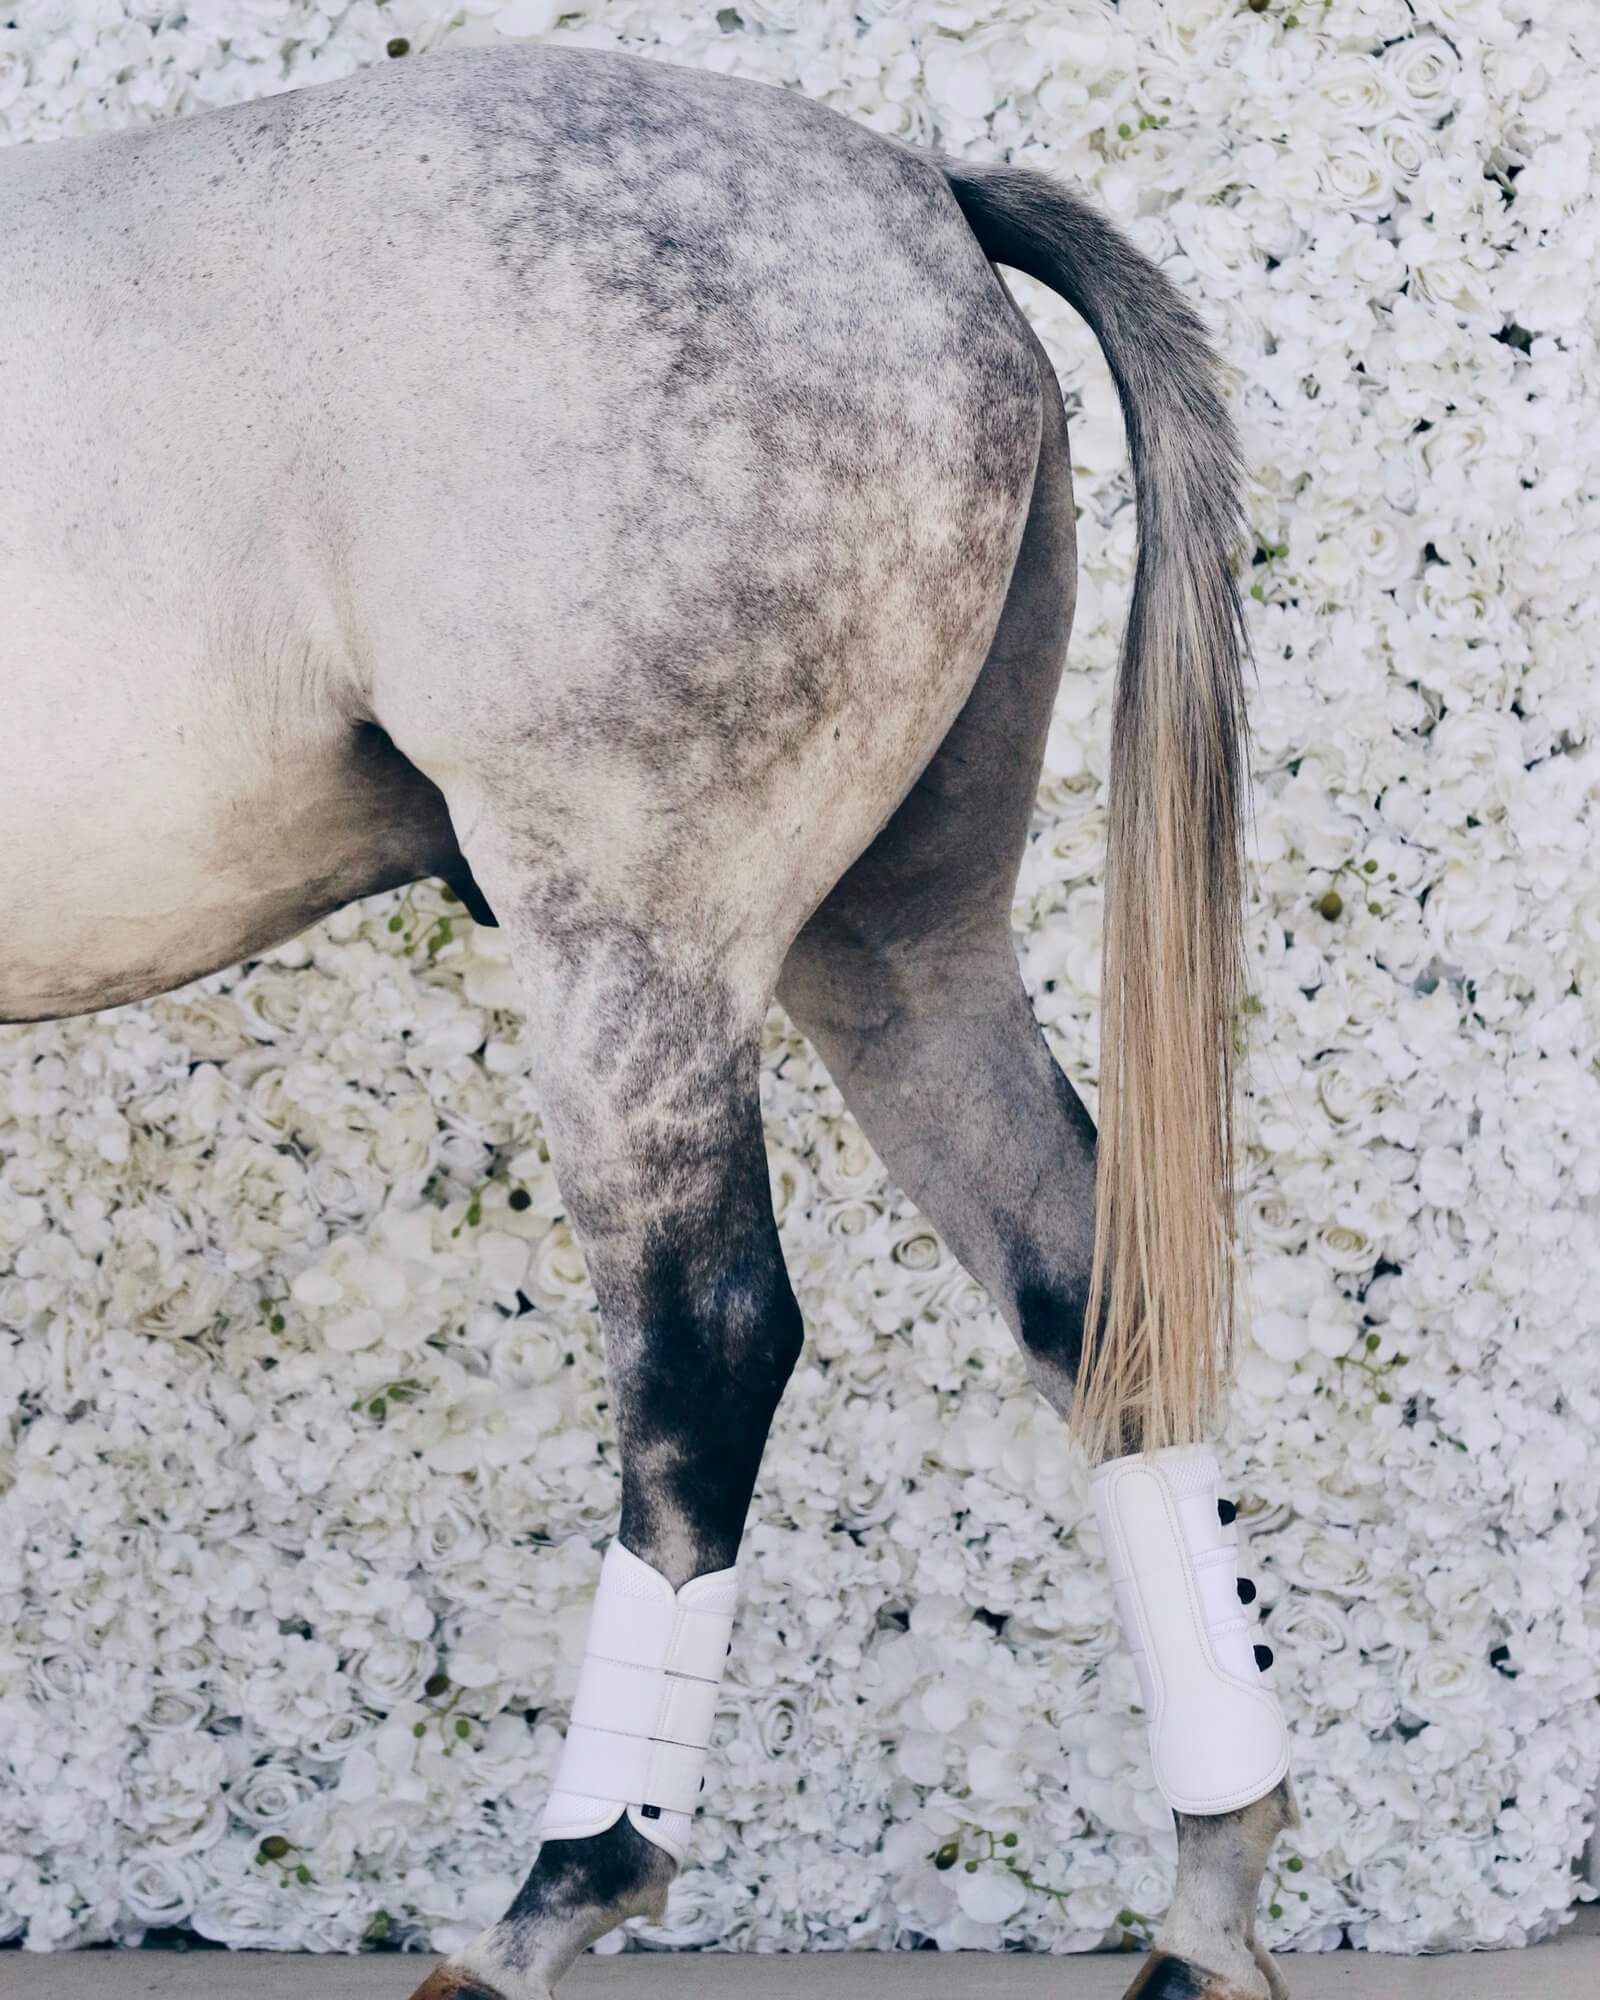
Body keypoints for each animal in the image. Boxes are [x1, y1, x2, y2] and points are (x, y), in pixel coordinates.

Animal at [0, 41, 1294, 2000]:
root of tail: (918, 197)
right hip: (901, 953)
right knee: (1088, 1292)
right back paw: (1208, 1902)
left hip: (637, 948)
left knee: (705, 1351)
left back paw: (562, 1895)